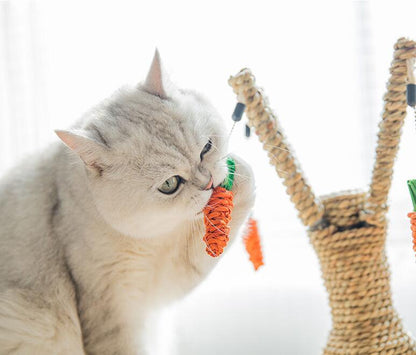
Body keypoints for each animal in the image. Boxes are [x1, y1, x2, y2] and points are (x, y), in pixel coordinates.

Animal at [0, 51, 255, 354]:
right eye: (169, 185)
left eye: (207, 148)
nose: (209, 184)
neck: (153, 236)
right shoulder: (114, 307)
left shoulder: (158, 289)